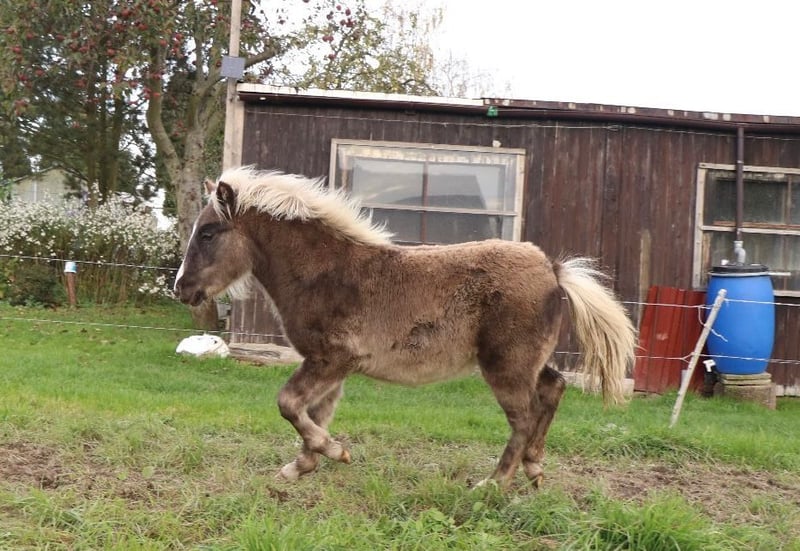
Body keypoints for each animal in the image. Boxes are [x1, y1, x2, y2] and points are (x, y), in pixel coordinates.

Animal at [174, 166, 636, 489]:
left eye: (208, 233)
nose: (181, 288)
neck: (325, 273)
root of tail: (552, 269)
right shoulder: (334, 367)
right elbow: (315, 413)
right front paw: (302, 465)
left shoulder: (330, 359)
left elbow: (289, 404)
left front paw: (334, 452)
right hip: (526, 362)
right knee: (553, 388)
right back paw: (535, 468)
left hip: (505, 366)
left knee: (523, 418)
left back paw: (493, 484)